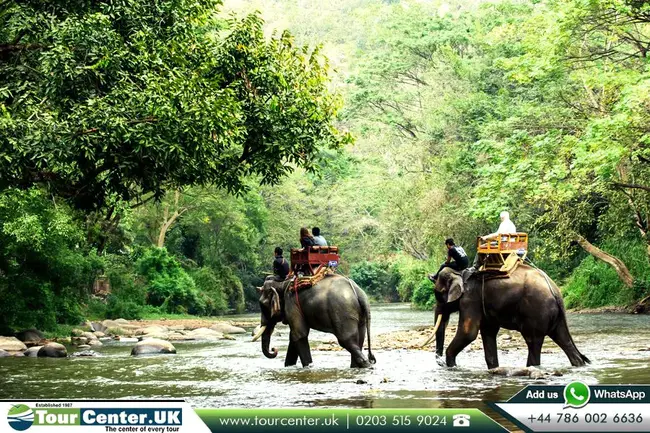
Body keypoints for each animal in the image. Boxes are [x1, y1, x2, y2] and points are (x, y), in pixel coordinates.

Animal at [426, 264, 588, 368]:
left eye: (439, 294)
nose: (440, 362)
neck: (459, 272)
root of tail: (555, 291)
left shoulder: (470, 300)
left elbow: (468, 333)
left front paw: (452, 365)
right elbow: (488, 332)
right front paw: (494, 368)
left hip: (537, 311)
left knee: (532, 341)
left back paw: (531, 367)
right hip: (555, 316)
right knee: (562, 338)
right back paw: (578, 364)